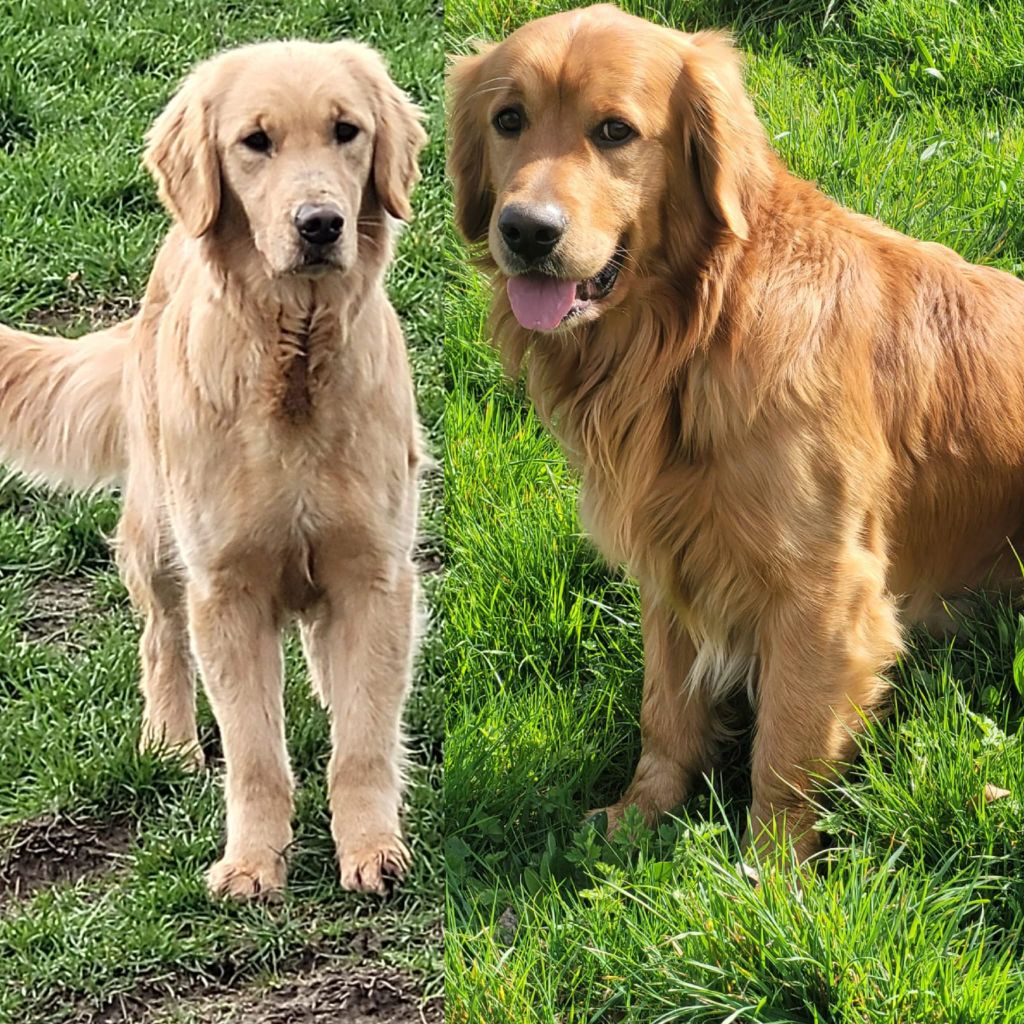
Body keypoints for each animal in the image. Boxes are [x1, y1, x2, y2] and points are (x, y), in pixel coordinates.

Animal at [0, 39, 428, 897]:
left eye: (347, 131)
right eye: (255, 142)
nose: (320, 224)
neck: (294, 365)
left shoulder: (376, 571)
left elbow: (364, 734)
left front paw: (371, 846)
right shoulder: (226, 589)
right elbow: (255, 750)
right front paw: (253, 863)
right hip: (157, 533)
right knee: (160, 637)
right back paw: (168, 743)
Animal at [450, 4, 1024, 860]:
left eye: (615, 131)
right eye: (508, 120)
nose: (524, 231)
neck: (697, 331)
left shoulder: (825, 590)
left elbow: (784, 748)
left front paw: (771, 873)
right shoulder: (670, 558)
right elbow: (666, 712)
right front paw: (639, 817)